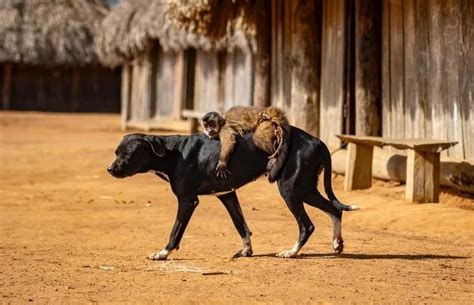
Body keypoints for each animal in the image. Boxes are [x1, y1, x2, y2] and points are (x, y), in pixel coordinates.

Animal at [107, 126, 358, 258]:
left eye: (127, 153)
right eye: (116, 152)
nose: (110, 169)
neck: (173, 152)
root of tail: (317, 141)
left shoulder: (188, 201)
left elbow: (175, 231)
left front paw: (163, 253)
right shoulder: (227, 195)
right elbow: (241, 225)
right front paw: (247, 250)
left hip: (290, 189)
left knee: (308, 225)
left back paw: (292, 251)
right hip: (304, 188)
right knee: (335, 209)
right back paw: (337, 243)